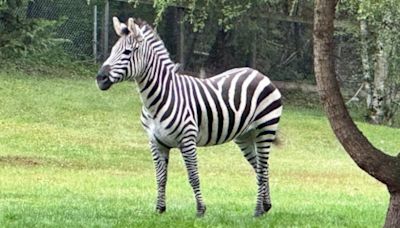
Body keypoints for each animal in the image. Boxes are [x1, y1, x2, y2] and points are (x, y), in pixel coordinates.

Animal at [95, 16, 282, 216]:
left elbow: (193, 176)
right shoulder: (155, 143)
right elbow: (160, 177)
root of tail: (259, 74)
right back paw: (266, 206)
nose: (100, 78)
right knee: (260, 168)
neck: (157, 100)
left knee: (262, 169)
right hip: (245, 135)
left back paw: (257, 211)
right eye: (112, 51)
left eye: (127, 52)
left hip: (265, 129)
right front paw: (160, 209)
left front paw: (200, 210)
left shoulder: (187, 140)